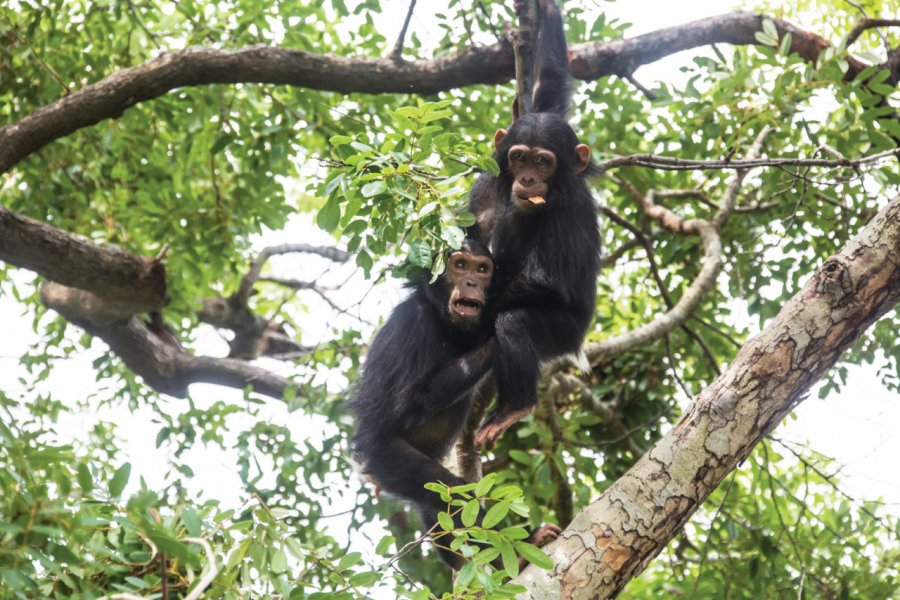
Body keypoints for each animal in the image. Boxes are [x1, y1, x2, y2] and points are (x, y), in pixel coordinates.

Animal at [468, 0, 600, 448]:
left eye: (544, 161)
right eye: (519, 157)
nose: (527, 179)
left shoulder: (567, 209)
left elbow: (546, 277)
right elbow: (550, 85)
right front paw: (547, 11)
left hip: (563, 333)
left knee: (516, 323)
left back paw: (514, 407)